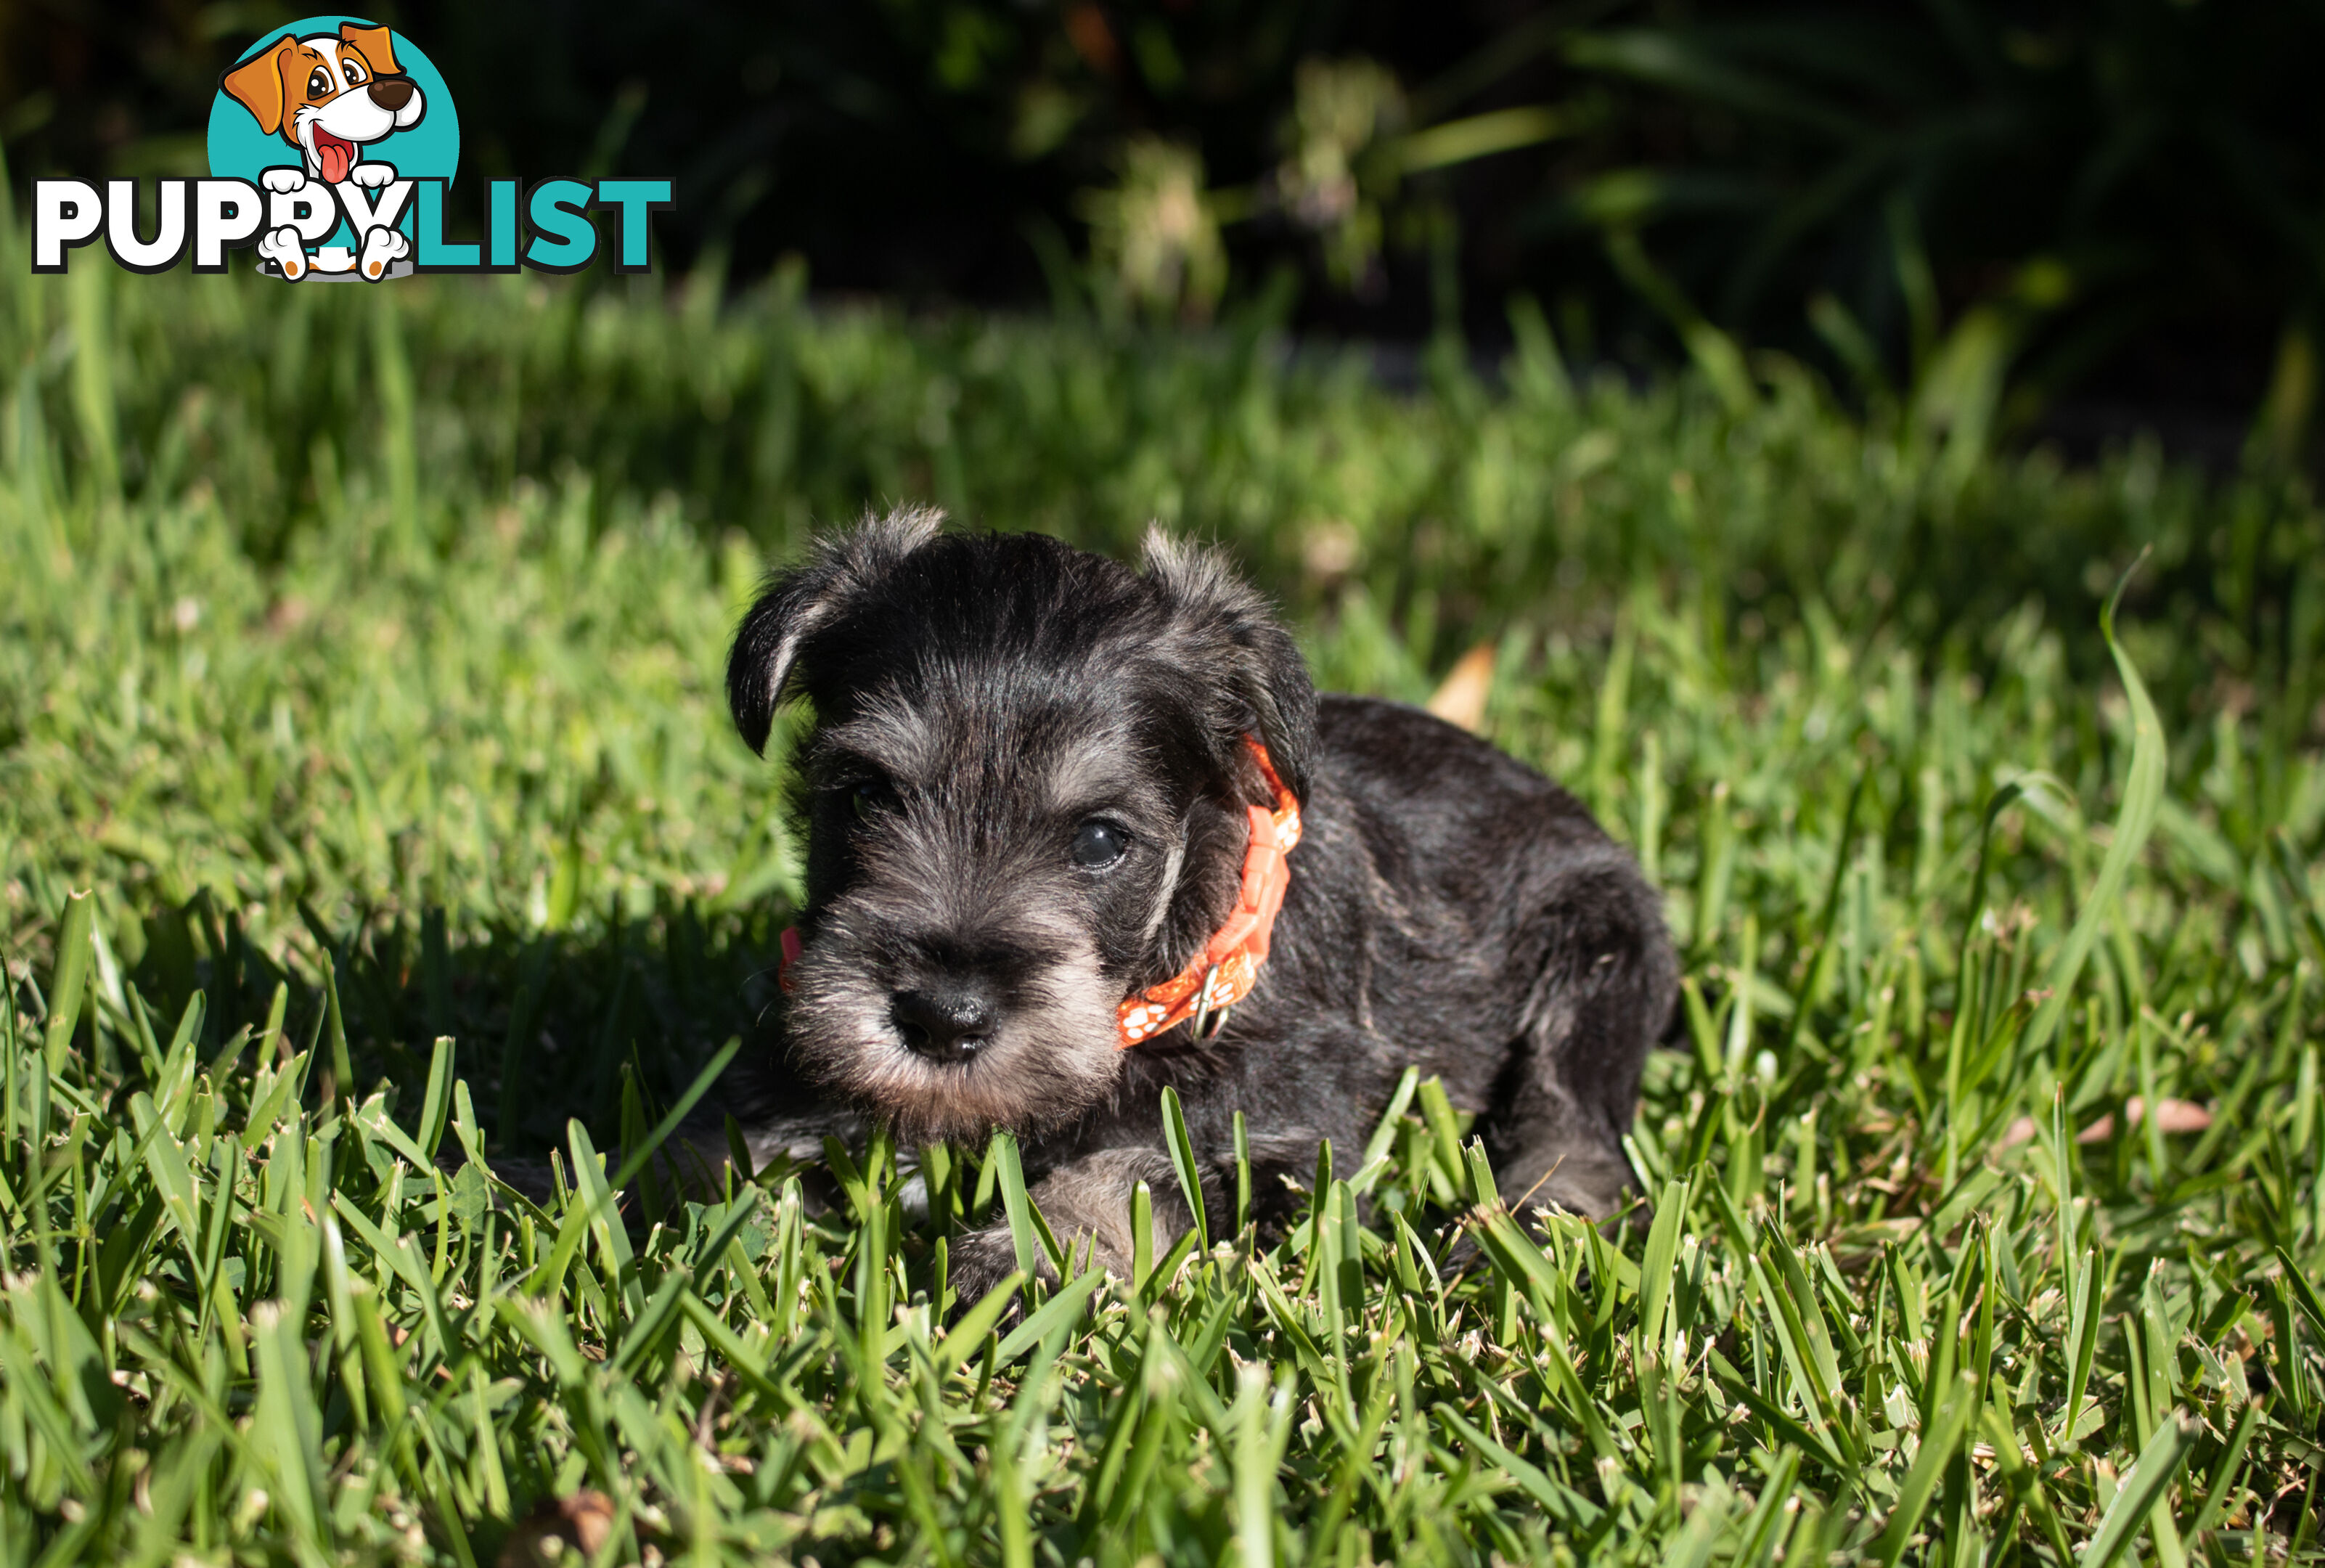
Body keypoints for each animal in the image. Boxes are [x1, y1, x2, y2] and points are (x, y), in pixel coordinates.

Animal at [716, 512, 1683, 1293]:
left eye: (1100, 840)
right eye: (865, 798)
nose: (941, 1020)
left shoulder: (1281, 1120)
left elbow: (1130, 1171)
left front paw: (1026, 1259)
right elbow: (737, 1151)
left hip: (1598, 958)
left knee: (1576, 1140)